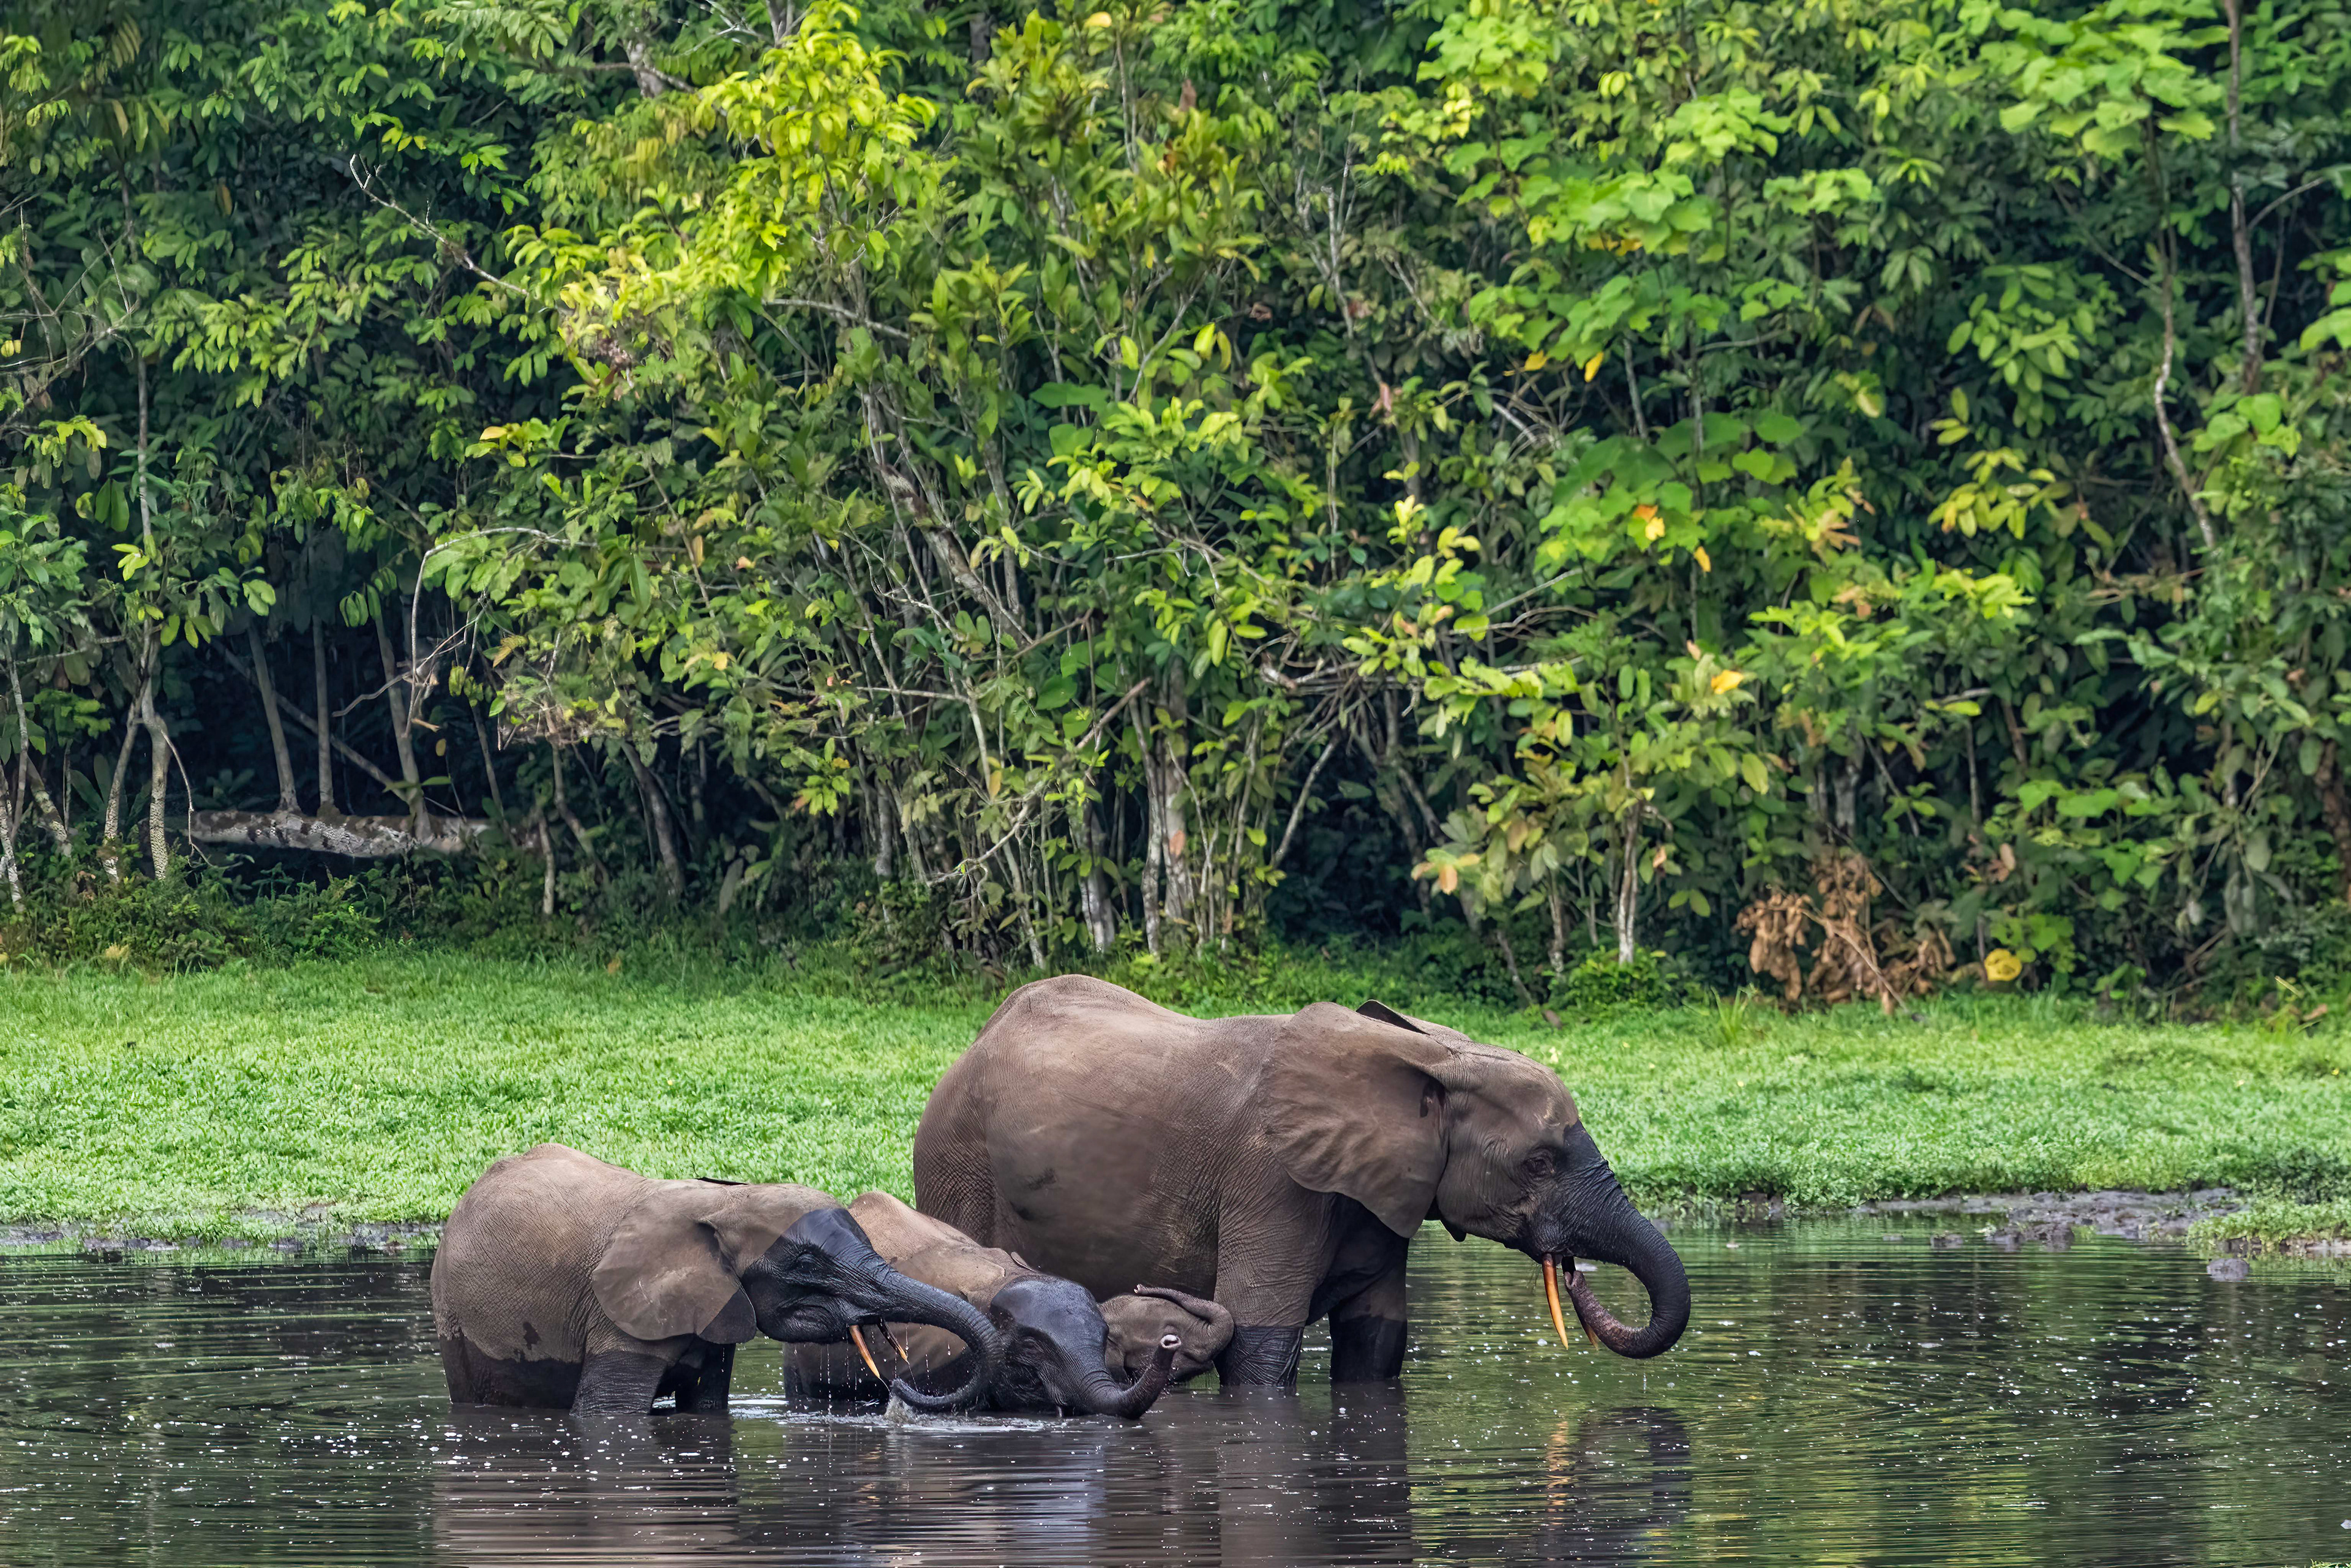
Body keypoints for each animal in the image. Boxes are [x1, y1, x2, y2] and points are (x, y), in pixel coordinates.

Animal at [431, 1144, 1002, 1415]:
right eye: (806, 1265)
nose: (897, 1386)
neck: (727, 1200)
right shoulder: (617, 1312)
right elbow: (606, 1414)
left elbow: (706, 1406)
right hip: (451, 1315)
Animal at [913, 976, 1689, 1385]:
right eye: (1538, 1161)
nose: (1573, 1270)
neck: (1433, 1054)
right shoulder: (1271, 1178)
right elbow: (1261, 1344)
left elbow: (1376, 1343)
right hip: (955, 1159)